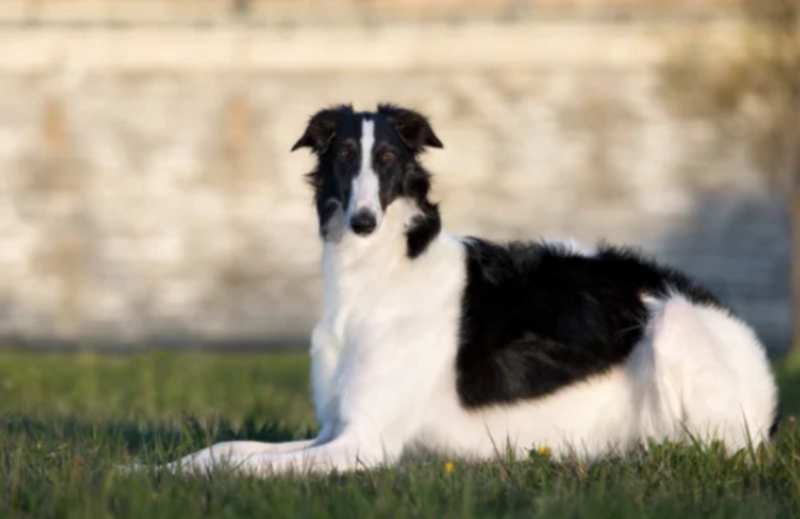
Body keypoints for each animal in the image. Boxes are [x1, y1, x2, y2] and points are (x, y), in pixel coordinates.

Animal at [145, 103, 780, 478]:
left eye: (388, 157)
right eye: (345, 154)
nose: (364, 222)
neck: (379, 278)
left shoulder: (365, 443)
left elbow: (242, 465)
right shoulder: (334, 429)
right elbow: (224, 451)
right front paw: (147, 472)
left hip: (674, 327)